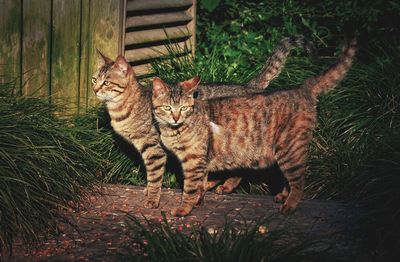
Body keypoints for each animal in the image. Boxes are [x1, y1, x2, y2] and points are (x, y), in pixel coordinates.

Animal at [90, 35, 316, 210]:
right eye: (94, 79)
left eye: (106, 82)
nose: (94, 89)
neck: (125, 107)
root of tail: (249, 86)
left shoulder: (154, 149)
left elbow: (154, 175)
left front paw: (153, 198)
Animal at [152, 37, 356, 217]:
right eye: (167, 108)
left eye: (184, 108)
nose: (176, 117)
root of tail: (301, 88)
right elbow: (199, 184)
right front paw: (198, 198)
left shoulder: (194, 161)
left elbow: (190, 189)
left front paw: (184, 208)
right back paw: (280, 195)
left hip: (289, 149)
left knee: (299, 181)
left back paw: (289, 205)